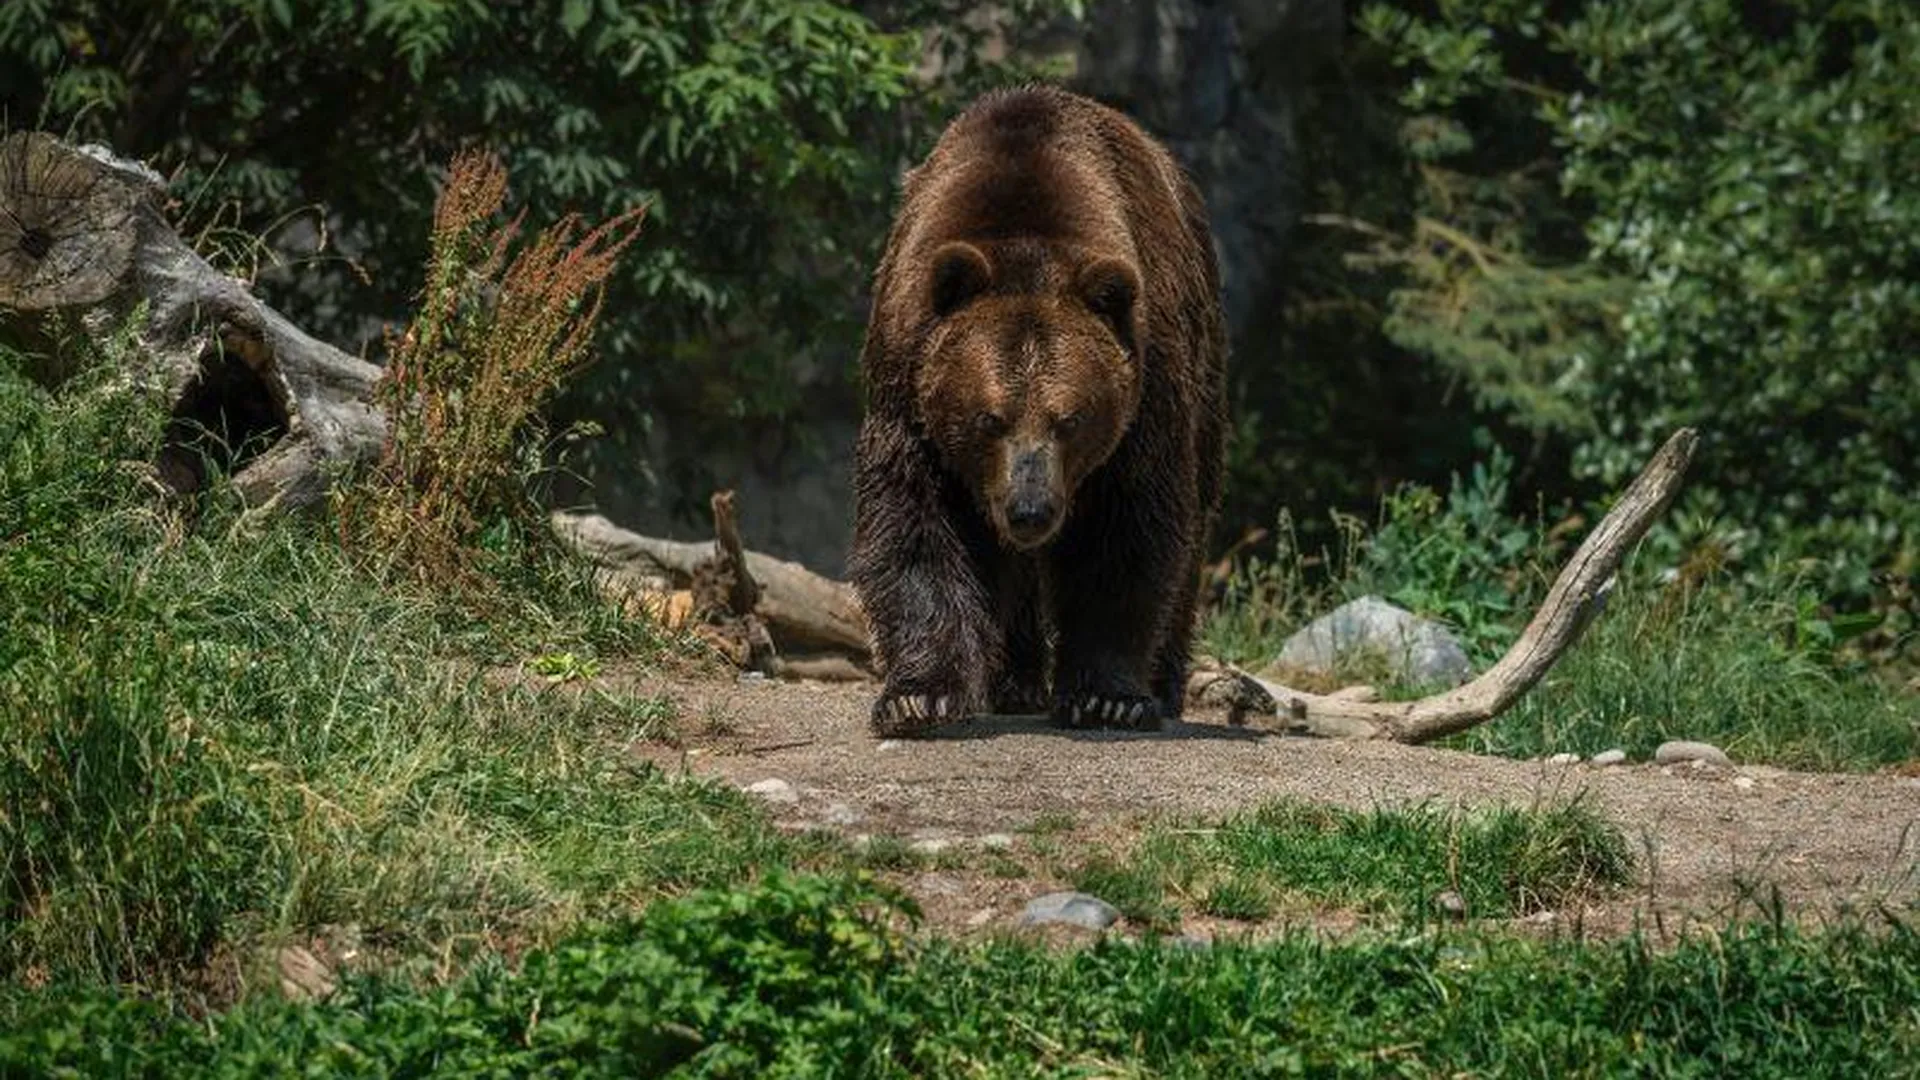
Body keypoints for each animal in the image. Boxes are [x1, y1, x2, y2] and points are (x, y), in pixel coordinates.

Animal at [848, 84, 1221, 734]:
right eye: (988, 418)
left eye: (1070, 419)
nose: (1030, 510)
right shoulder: (909, 379)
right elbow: (914, 521)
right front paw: (921, 695)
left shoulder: (1147, 392)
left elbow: (1129, 529)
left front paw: (1108, 697)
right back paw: (1013, 681)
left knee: (1194, 520)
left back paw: (1161, 685)